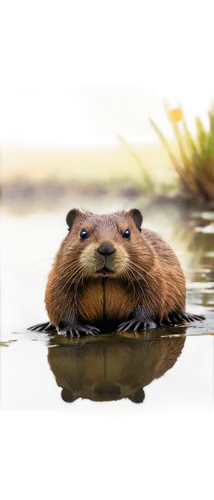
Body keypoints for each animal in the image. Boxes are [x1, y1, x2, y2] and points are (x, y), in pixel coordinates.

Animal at [27, 207, 205, 336]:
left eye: (127, 232)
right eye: (83, 232)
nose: (105, 248)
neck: (104, 278)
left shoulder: (151, 272)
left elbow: (152, 297)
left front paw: (137, 323)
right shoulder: (61, 276)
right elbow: (60, 302)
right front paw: (75, 329)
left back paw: (180, 316)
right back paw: (42, 326)